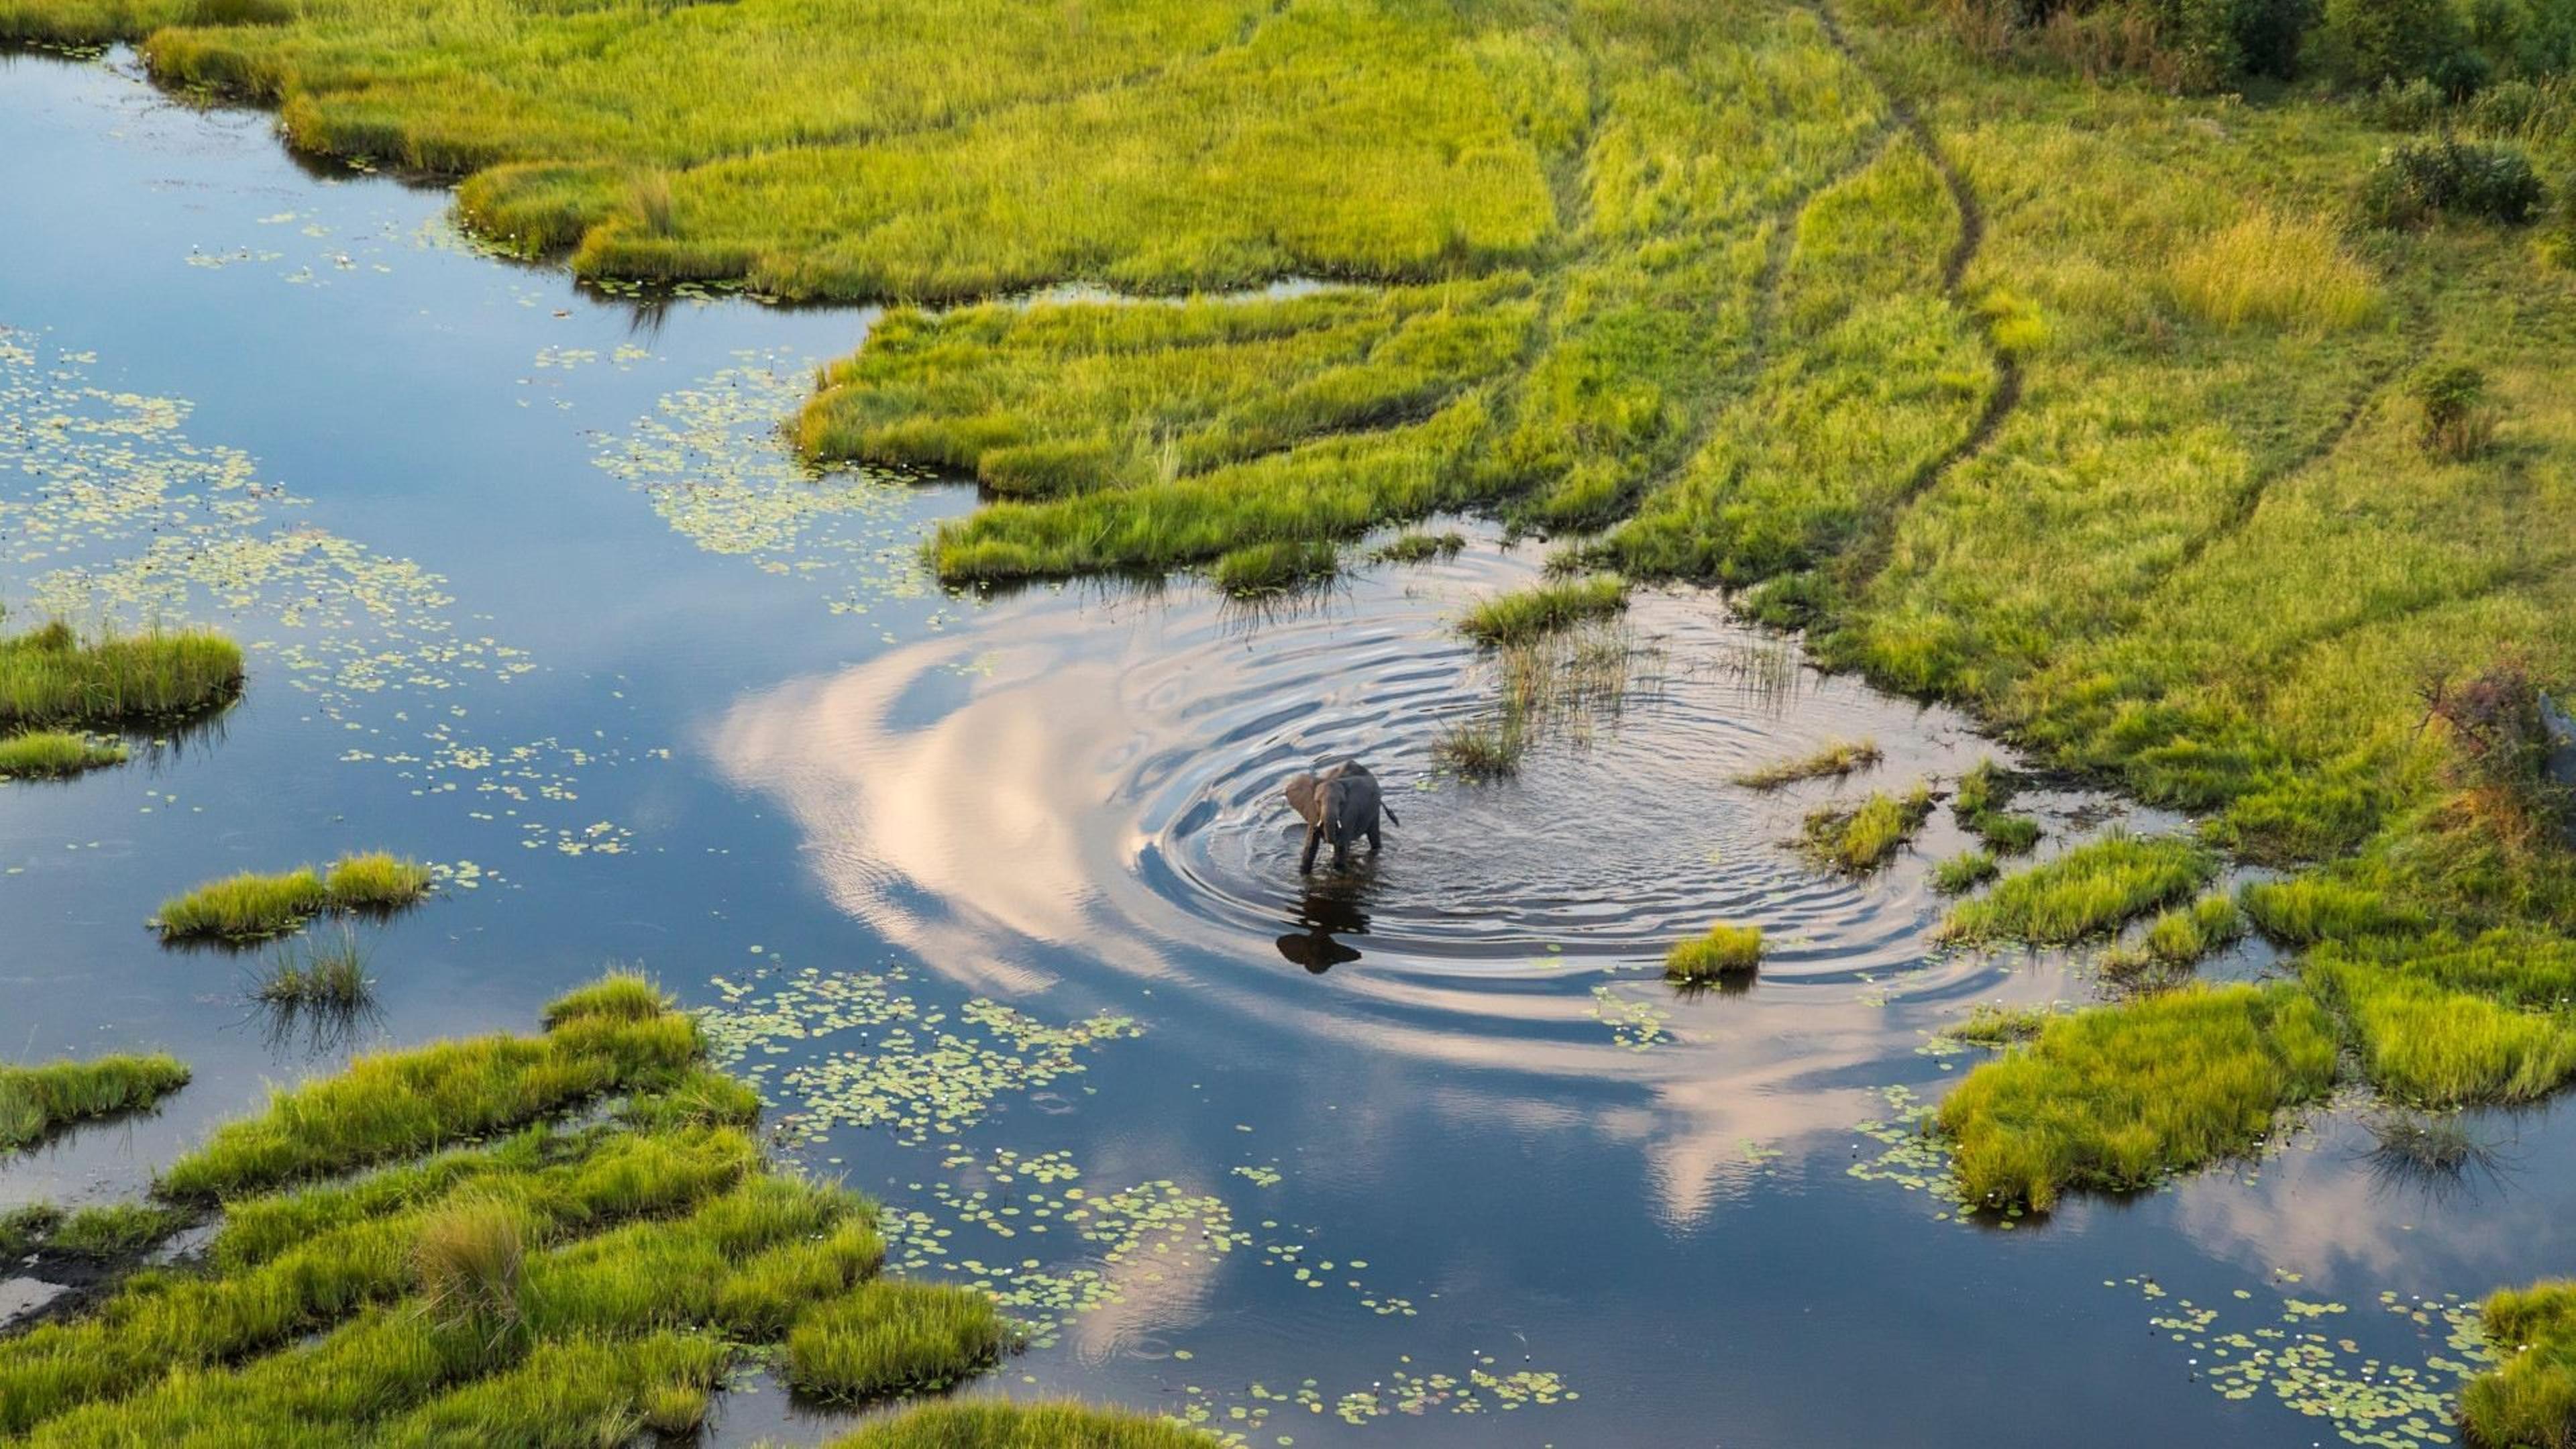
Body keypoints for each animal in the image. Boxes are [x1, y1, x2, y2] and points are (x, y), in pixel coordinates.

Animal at [1283, 757, 1401, 866]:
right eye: (1318, 802)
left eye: (1341, 803)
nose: (1327, 840)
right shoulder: (1312, 811)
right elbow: (1309, 848)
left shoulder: (1350, 813)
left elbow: (1341, 849)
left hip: (1374, 809)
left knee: (1374, 836)